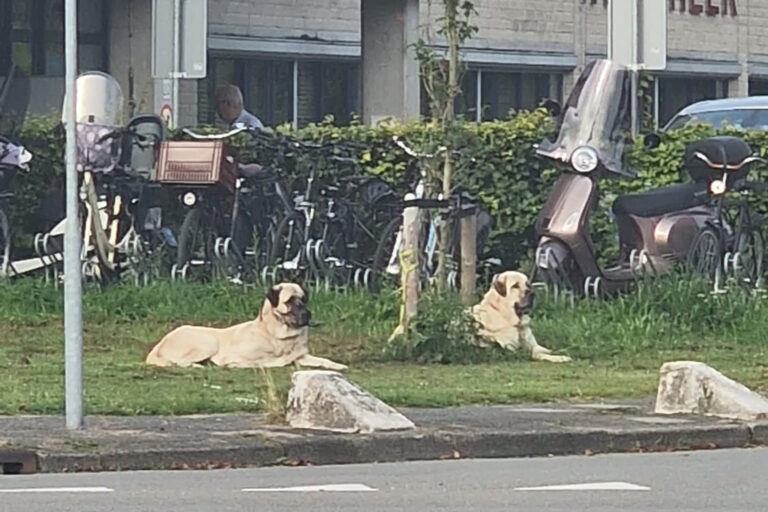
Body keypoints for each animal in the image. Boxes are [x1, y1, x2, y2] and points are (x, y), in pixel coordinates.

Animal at [145, 282, 348, 370]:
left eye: (304, 299)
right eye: (290, 301)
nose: (307, 314)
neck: (276, 335)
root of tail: (158, 345)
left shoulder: (301, 356)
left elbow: (322, 360)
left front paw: (337, 365)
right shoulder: (236, 357)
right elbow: (258, 362)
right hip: (207, 342)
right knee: (178, 362)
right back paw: (198, 366)